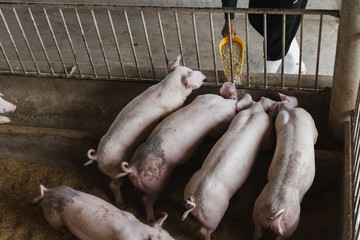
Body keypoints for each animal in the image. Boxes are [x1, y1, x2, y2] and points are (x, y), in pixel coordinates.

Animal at [84, 55, 207, 204]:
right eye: (191, 72)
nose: (204, 76)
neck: (168, 87)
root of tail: (98, 156)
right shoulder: (172, 107)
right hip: (115, 170)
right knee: (113, 184)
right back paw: (121, 202)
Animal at [116, 82, 242, 221]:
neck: (223, 103)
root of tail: (133, 168)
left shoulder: (204, 97)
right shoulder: (220, 124)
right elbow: (215, 133)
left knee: (137, 192)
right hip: (154, 184)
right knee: (147, 200)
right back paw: (152, 218)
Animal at [181, 94, 278, 240]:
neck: (253, 111)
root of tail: (195, 199)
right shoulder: (268, 135)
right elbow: (269, 143)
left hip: (191, 183)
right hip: (215, 213)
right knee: (204, 231)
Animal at [252, 93, 316, 239]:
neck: (288, 110)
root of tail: (274, 210)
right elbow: (316, 135)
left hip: (258, 212)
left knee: (257, 232)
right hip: (290, 224)